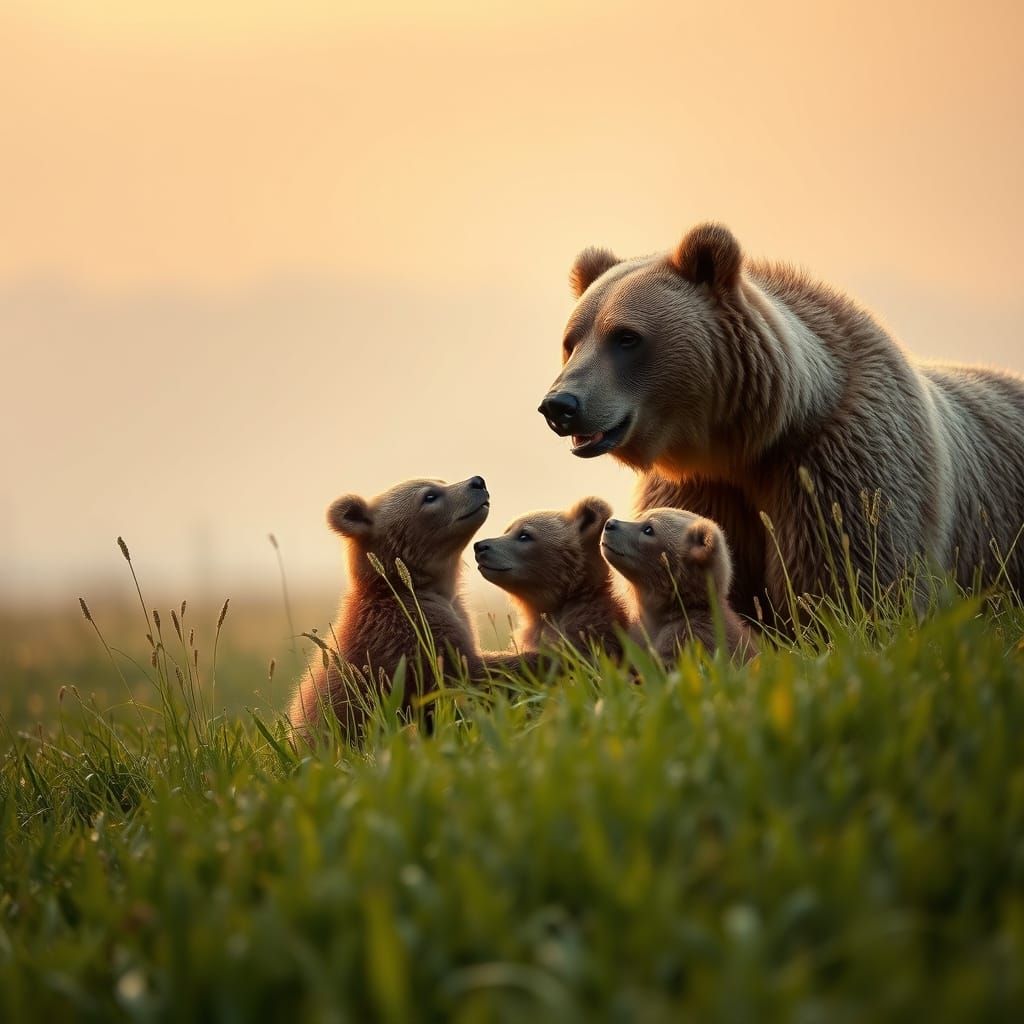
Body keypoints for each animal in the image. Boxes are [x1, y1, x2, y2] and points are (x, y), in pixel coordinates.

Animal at [539, 222, 1024, 619]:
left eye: (626, 337)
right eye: (571, 340)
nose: (560, 405)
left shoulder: (835, 466)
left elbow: (849, 578)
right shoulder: (705, 487)